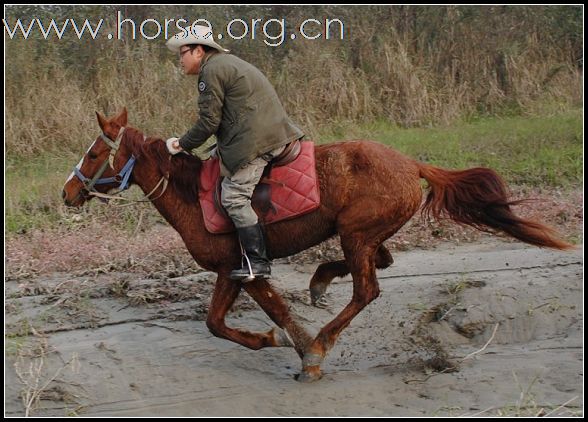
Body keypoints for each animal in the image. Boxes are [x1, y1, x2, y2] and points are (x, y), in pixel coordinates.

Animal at [63, 109, 568, 382]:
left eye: (94, 153)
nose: (67, 193)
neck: (192, 193)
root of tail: (412, 164)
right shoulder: (229, 272)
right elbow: (215, 323)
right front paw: (276, 339)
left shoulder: (244, 269)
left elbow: (265, 315)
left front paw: (301, 349)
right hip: (362, 233)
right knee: (382, 259)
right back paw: (321, 280)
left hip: (357, 233)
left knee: (367, 290)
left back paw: (324, 336)